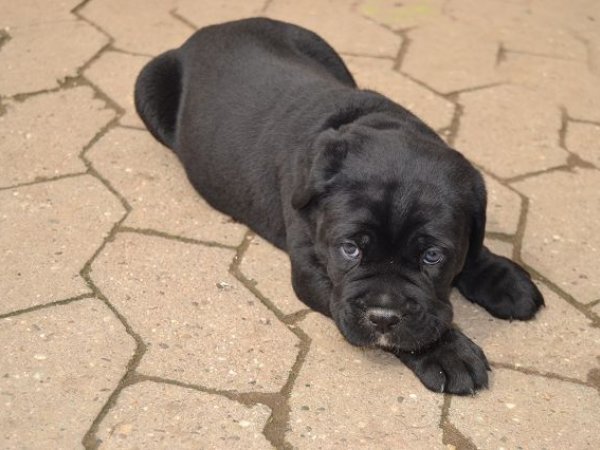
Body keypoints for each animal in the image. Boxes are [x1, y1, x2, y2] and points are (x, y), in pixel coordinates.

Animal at [134, 17, 544, 395]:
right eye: (349, 249)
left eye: (432, 256)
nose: (383, 317)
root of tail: (213, 28)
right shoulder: (313, 270)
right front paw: (447, 353)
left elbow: (473, 250)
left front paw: (503, 279)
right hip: (146, 84)